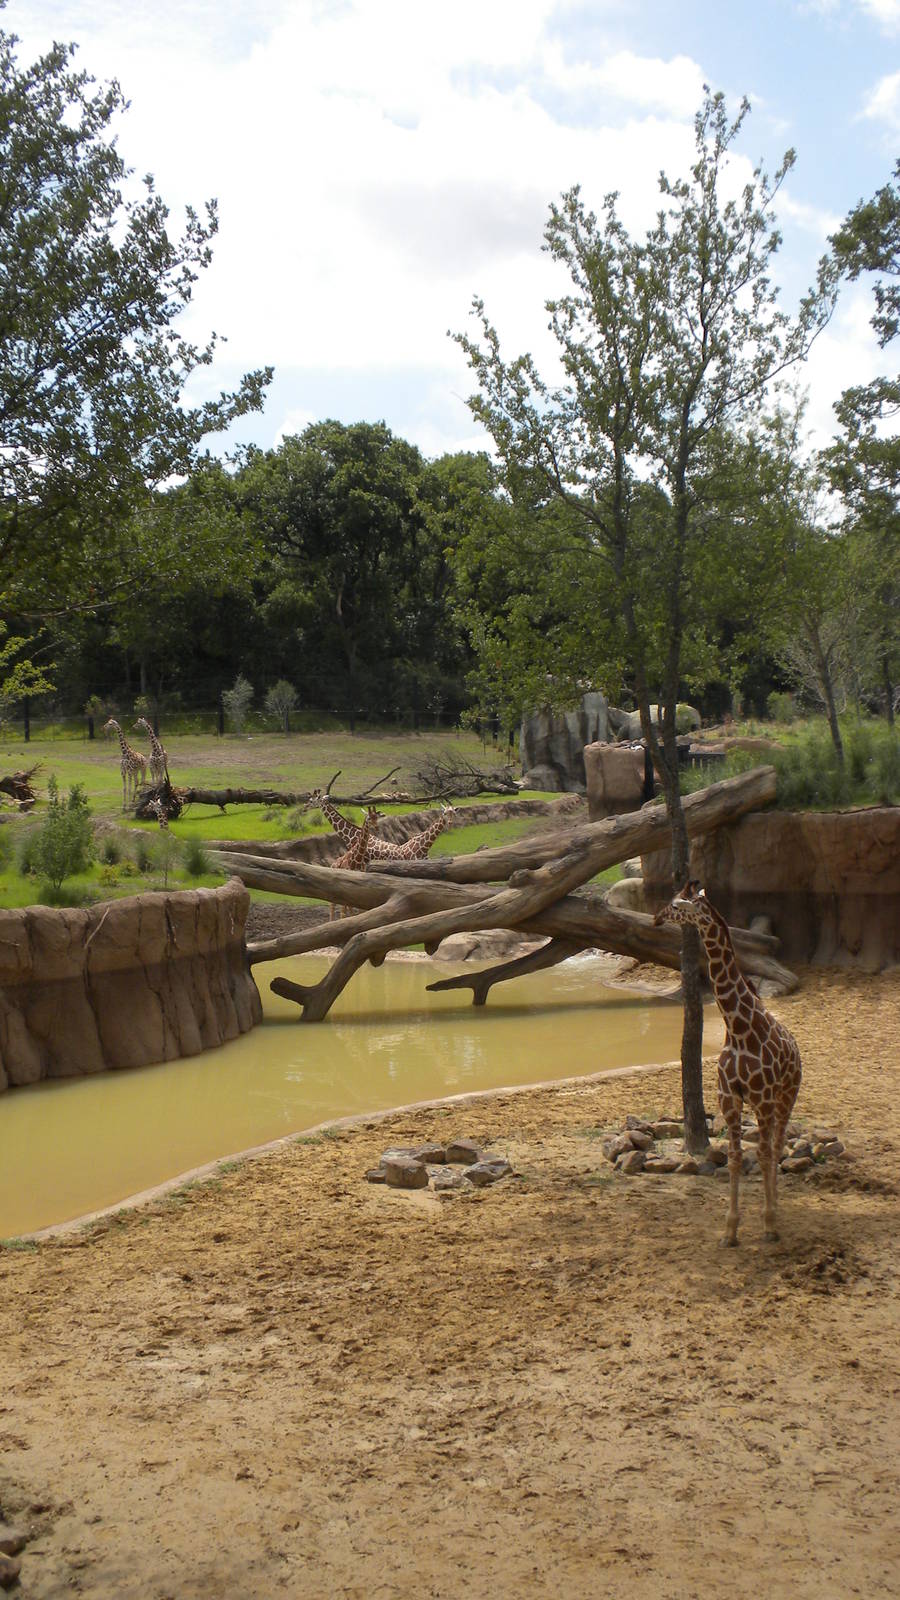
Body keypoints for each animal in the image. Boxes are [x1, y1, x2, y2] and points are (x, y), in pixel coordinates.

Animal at [653, 880, 803, 1247]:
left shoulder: (762, 1099)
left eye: (676, 904)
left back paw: (776, 1208)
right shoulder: (730, 1099)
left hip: (786, 1095)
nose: (655, 918)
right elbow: (735, 1158)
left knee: (776, 1145)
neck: (737, 1028)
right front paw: (730, 1230)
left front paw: (768, 1223)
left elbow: (762, 1154)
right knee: (770, 1147)